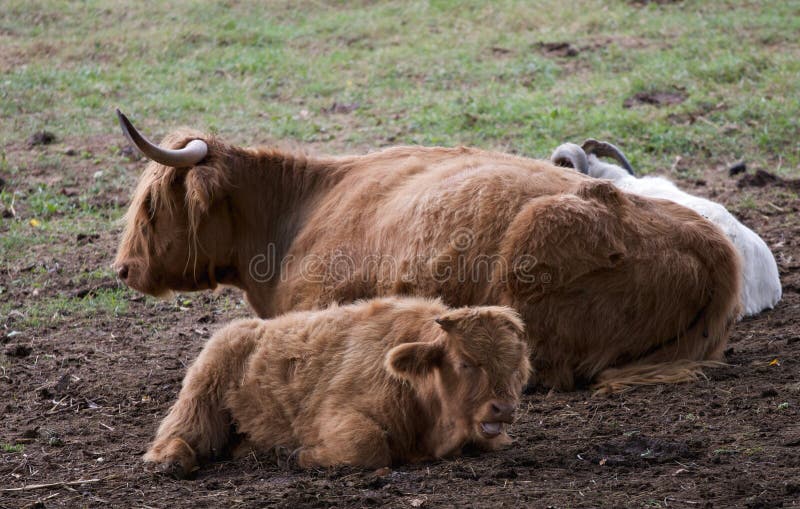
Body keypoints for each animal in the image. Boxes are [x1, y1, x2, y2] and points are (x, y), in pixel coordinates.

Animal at [144, 298, 532, 476]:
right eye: (465, 362)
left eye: (515, 367)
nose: (503, 409)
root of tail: (245, 327)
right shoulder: (338, 416)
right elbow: (369, 446)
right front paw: (297, 455)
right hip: (201, 396)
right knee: (179, 433)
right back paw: (171, 461)